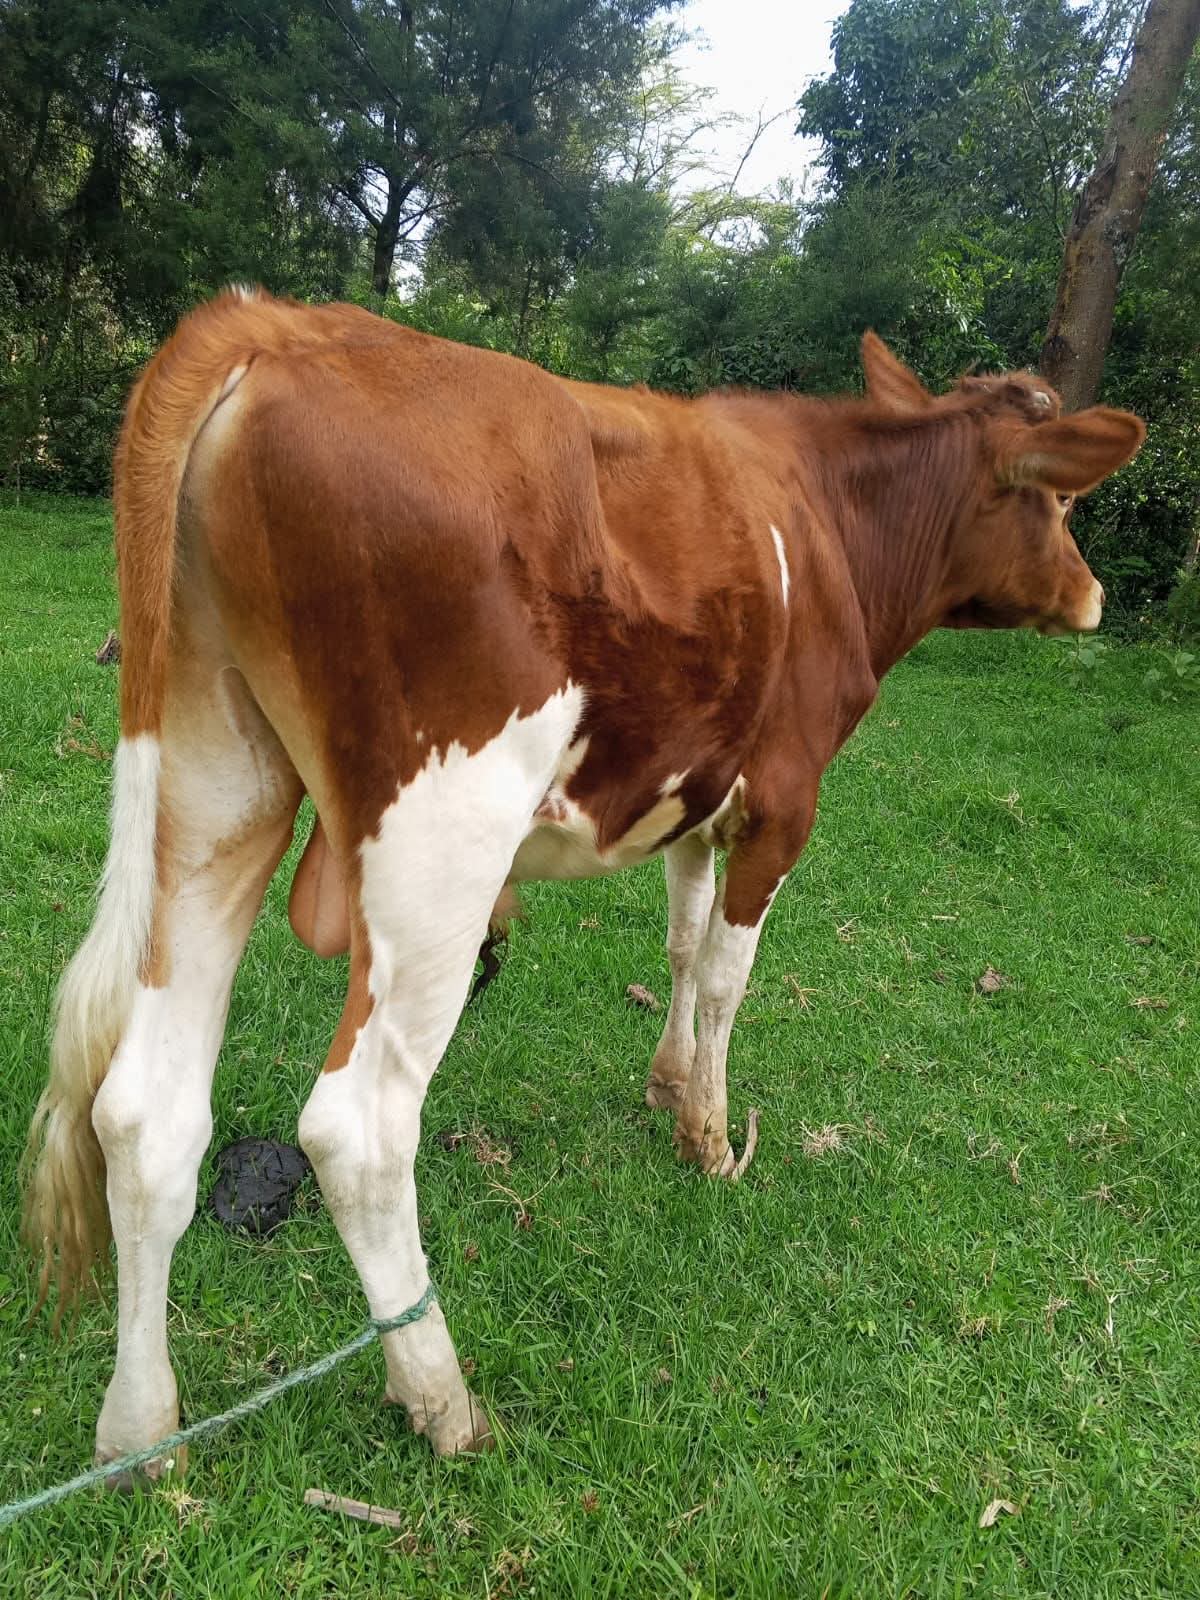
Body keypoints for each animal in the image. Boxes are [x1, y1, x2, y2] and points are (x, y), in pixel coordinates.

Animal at [21, 290, 1144, 1472]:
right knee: (358, 1128)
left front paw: (665, 1085)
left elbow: (683, 945)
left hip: (213, 779)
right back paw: (442, 1398)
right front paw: (709, 1135)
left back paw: (143, 1432)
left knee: (144, 1113)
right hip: (439, 842)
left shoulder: (699, 800)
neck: (828, 519)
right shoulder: (785, 801)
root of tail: (277, 324)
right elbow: (729, 976)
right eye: (1060, 497)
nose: (1092, 595)